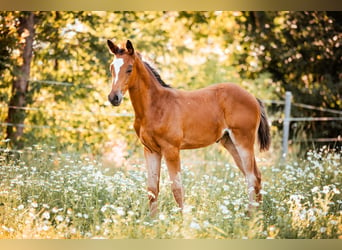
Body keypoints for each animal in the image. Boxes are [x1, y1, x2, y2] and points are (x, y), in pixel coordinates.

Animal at [106, 40, 270, 216]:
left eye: (129, 68)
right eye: (111, 67)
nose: (113, 97)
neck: (155, 106)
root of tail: (253, 97)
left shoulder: (171, 150)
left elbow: (177, 189)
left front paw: (182, 220)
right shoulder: (150, 150)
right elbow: (152, 190)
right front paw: (153, 220)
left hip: (243, 142)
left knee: (252, 177)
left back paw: (252, 217)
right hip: (230, 142)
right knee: (255, 176)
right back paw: (258, 215)